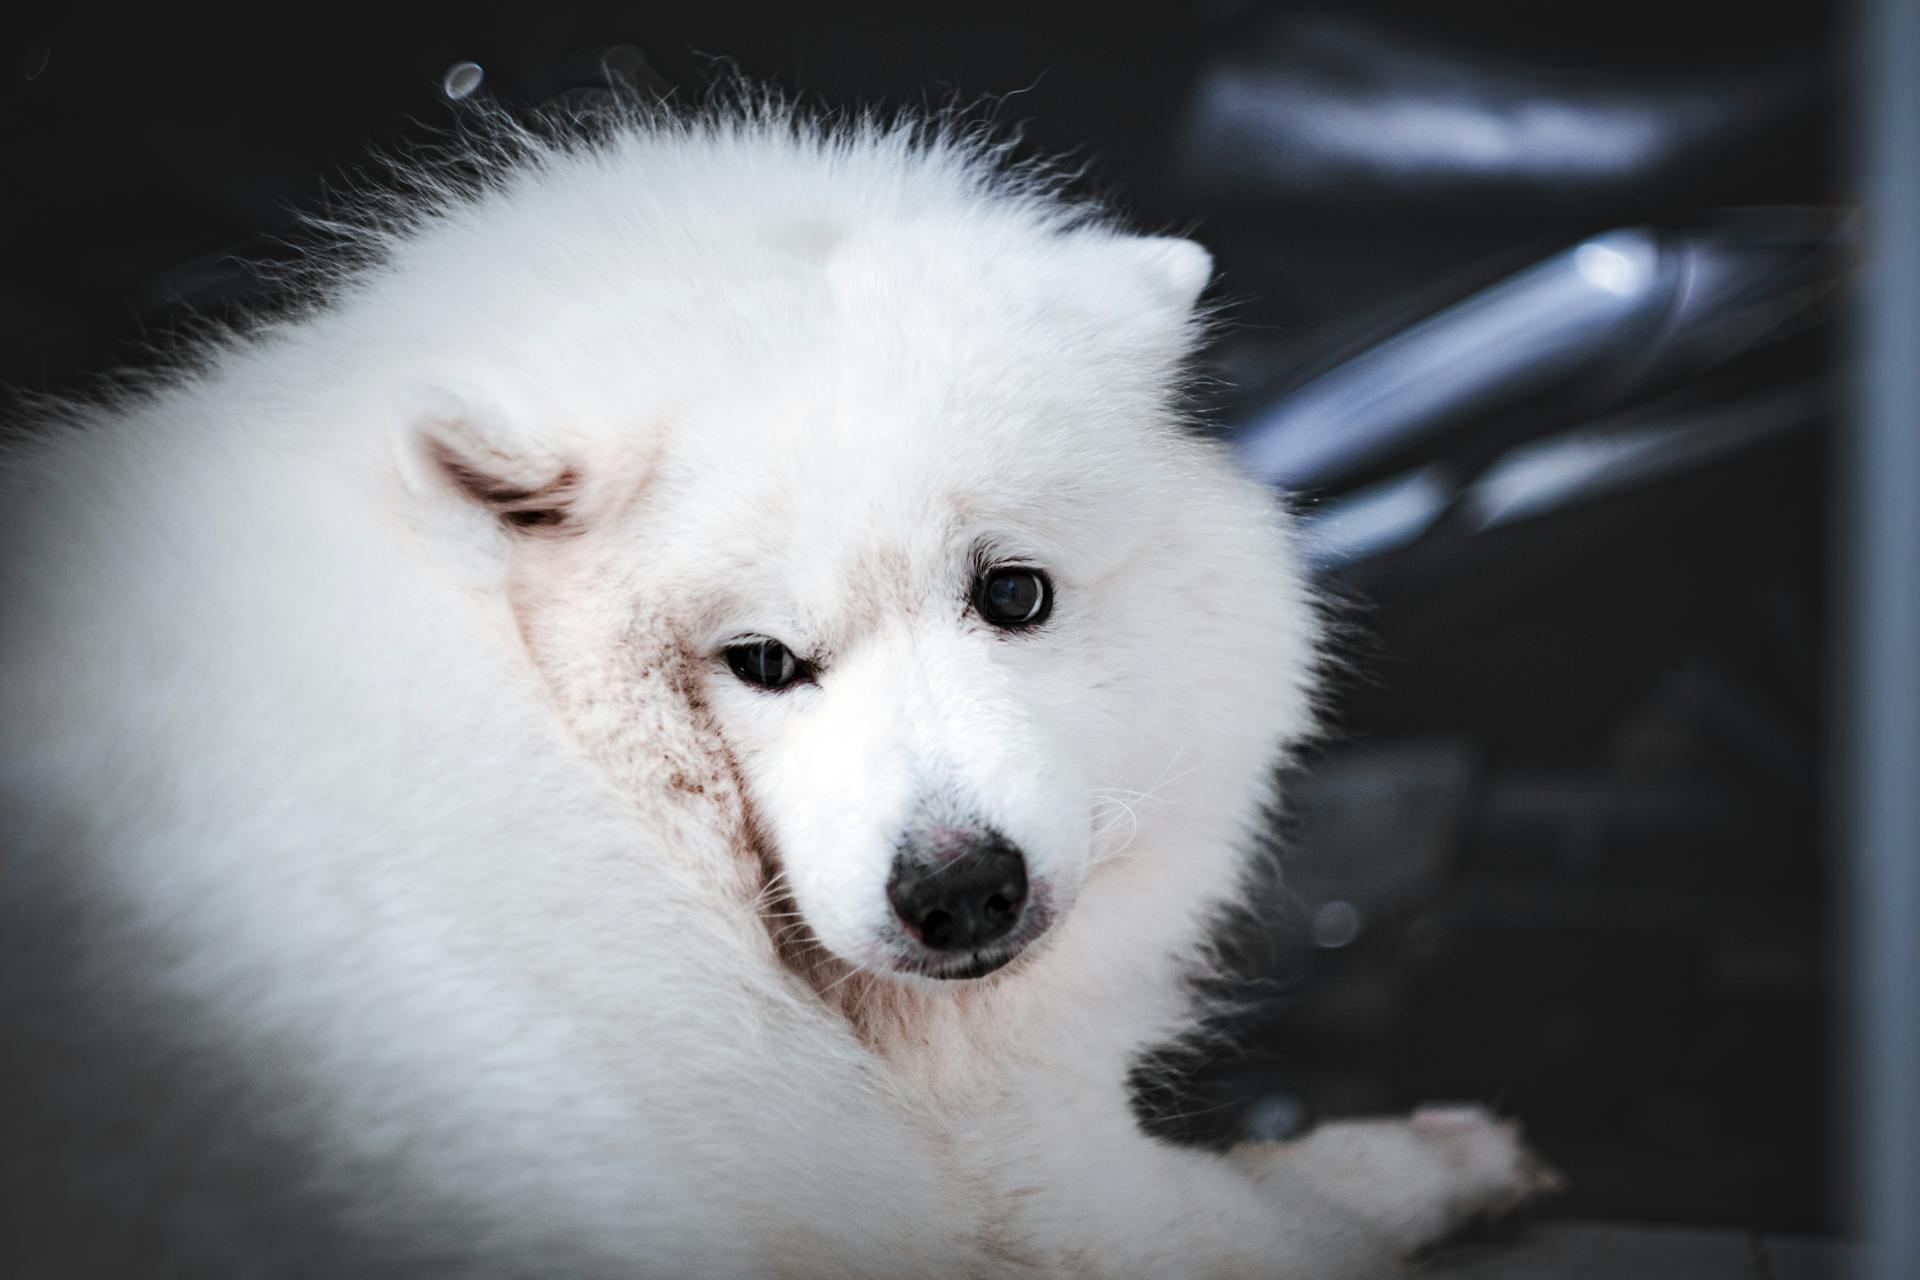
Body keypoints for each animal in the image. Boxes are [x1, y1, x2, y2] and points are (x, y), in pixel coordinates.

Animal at [0, 102, 1551, 1280]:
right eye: (760, 661)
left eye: (1014, 594)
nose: (961, 890)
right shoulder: (1026, 1176)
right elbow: (1288, 1208)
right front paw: (1444, 1156)